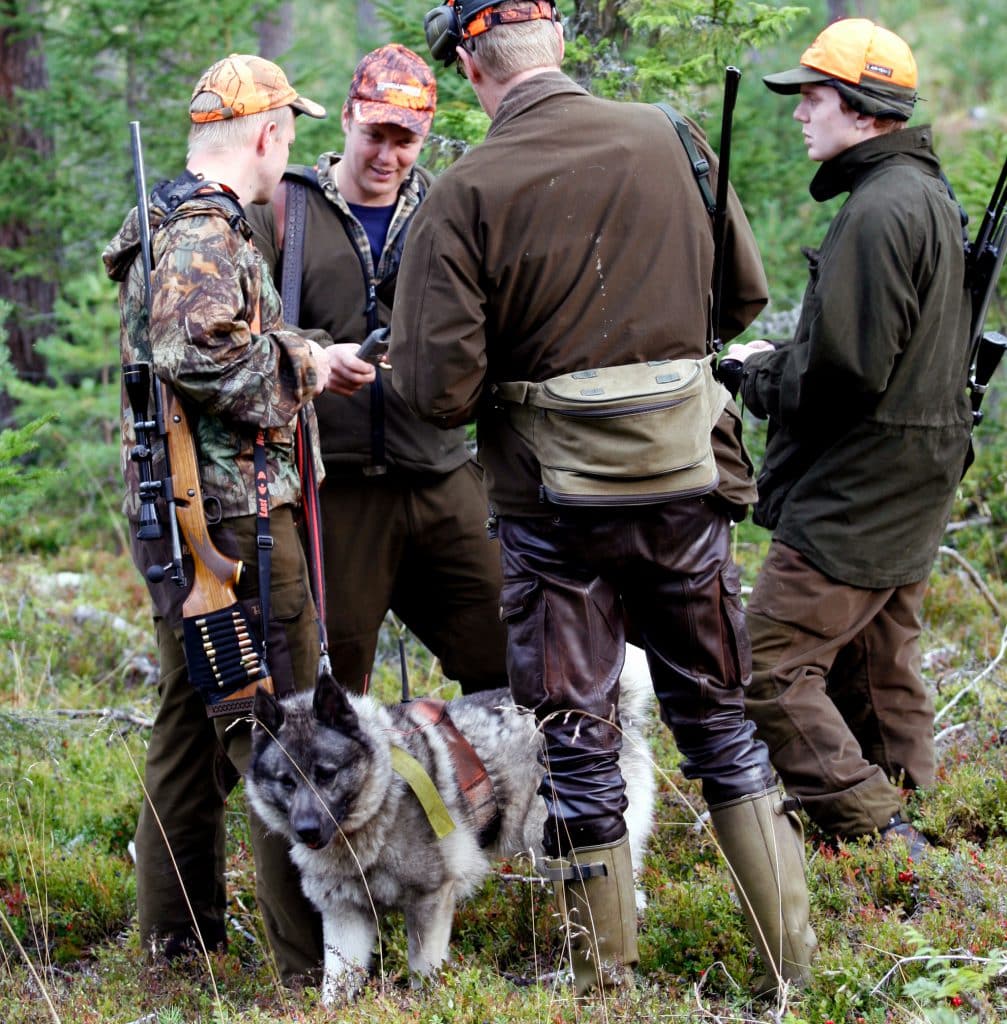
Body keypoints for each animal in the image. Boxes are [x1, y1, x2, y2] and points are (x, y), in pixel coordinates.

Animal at [242, 643, 655, 1003]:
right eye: (286, 781)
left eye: (327, 774)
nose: (306, 831)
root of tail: (609, 716)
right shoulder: (344, 917)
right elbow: (337, 984)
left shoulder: (431, 897)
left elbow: (423, 969)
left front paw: (425, 1004)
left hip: (552, 842)